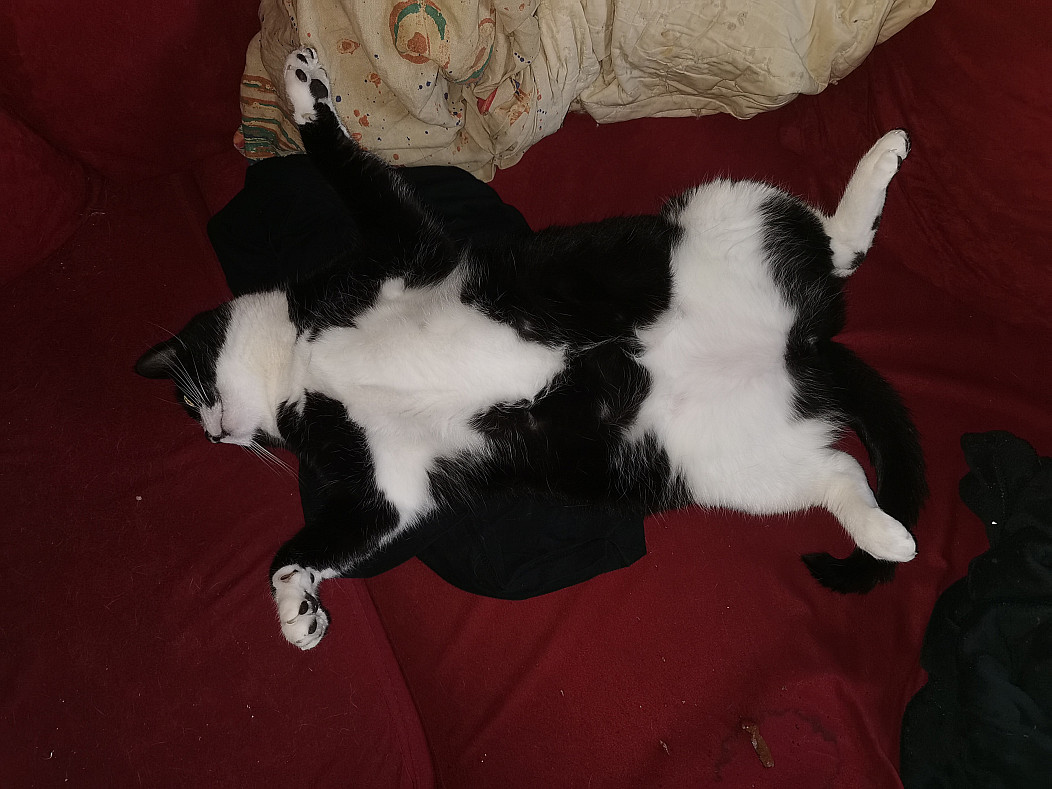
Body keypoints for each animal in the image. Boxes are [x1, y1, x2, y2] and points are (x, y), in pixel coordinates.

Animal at [136, 47, 926, 650]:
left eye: (185, 396)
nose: (211, 435)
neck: (304, 369)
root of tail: (802, 346)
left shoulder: (404, 247)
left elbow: (351, 169)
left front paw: (305, 91)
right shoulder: (393, 483)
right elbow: (310, 546)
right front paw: (296, 607)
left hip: (726, 208)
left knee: (838, 245)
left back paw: (883, 157)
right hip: (728, 466)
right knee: (836, 473)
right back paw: (888, 537)